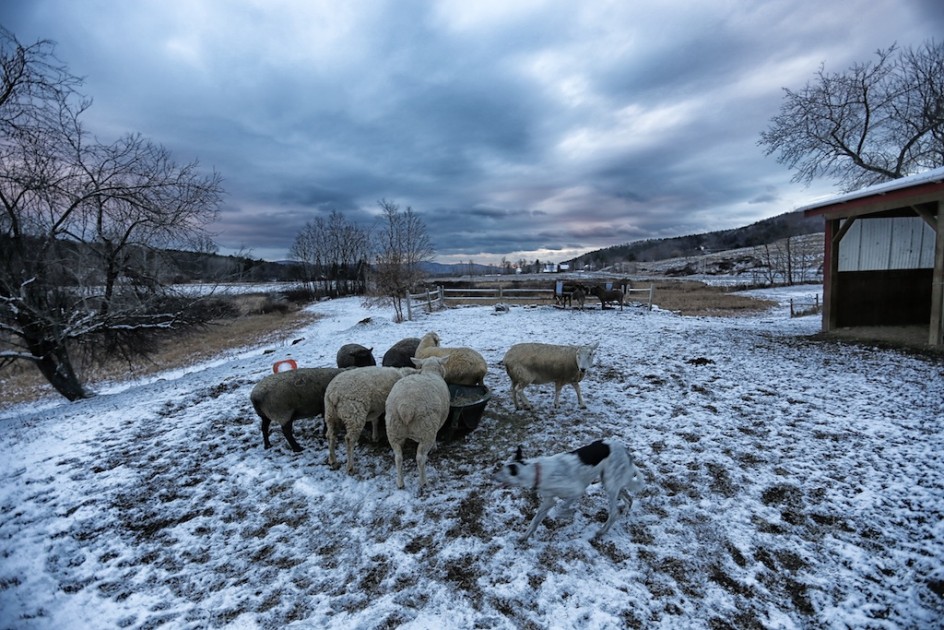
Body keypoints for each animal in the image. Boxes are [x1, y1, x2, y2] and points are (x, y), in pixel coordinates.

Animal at [388, 358, 454, 496]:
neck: (430, 371)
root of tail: (406, 406)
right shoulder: (437, 423)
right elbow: (436, 434)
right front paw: (435, 447)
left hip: (393, 431)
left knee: (398, 457)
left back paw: (400, 483)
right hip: (426, 430)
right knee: (420, 458)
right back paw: (423, 482)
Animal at [494, 440, 640, 544]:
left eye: (502, 472)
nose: (492, 476)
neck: (537, 472)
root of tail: (625, 450)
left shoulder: (576, 491)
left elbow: (559, 508)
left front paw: (571, 513)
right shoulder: (548, 501)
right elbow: (534, 522)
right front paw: (524, 537)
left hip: (610, 484)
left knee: (614, 513)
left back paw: (601, 532)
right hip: (609, 481)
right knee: (628, 498)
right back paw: (626, 511)